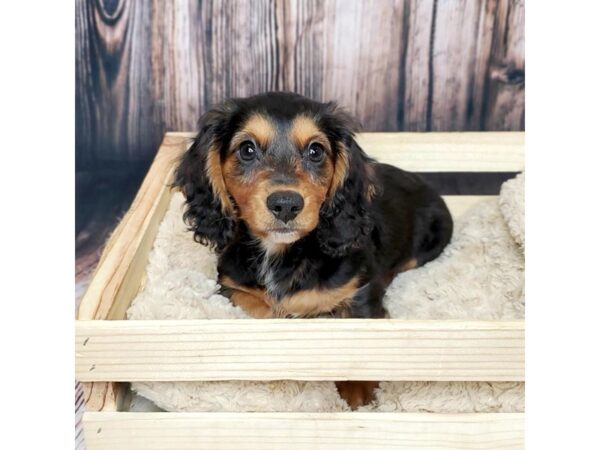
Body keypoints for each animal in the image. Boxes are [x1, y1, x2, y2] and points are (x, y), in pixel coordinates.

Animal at [176, 90, 452, 408]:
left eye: (315, 151)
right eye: (247, 149)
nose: (285, 204)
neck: (281, 253)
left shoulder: (358, 293)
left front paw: (358, 391)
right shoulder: (231, 286)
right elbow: (262, 308)